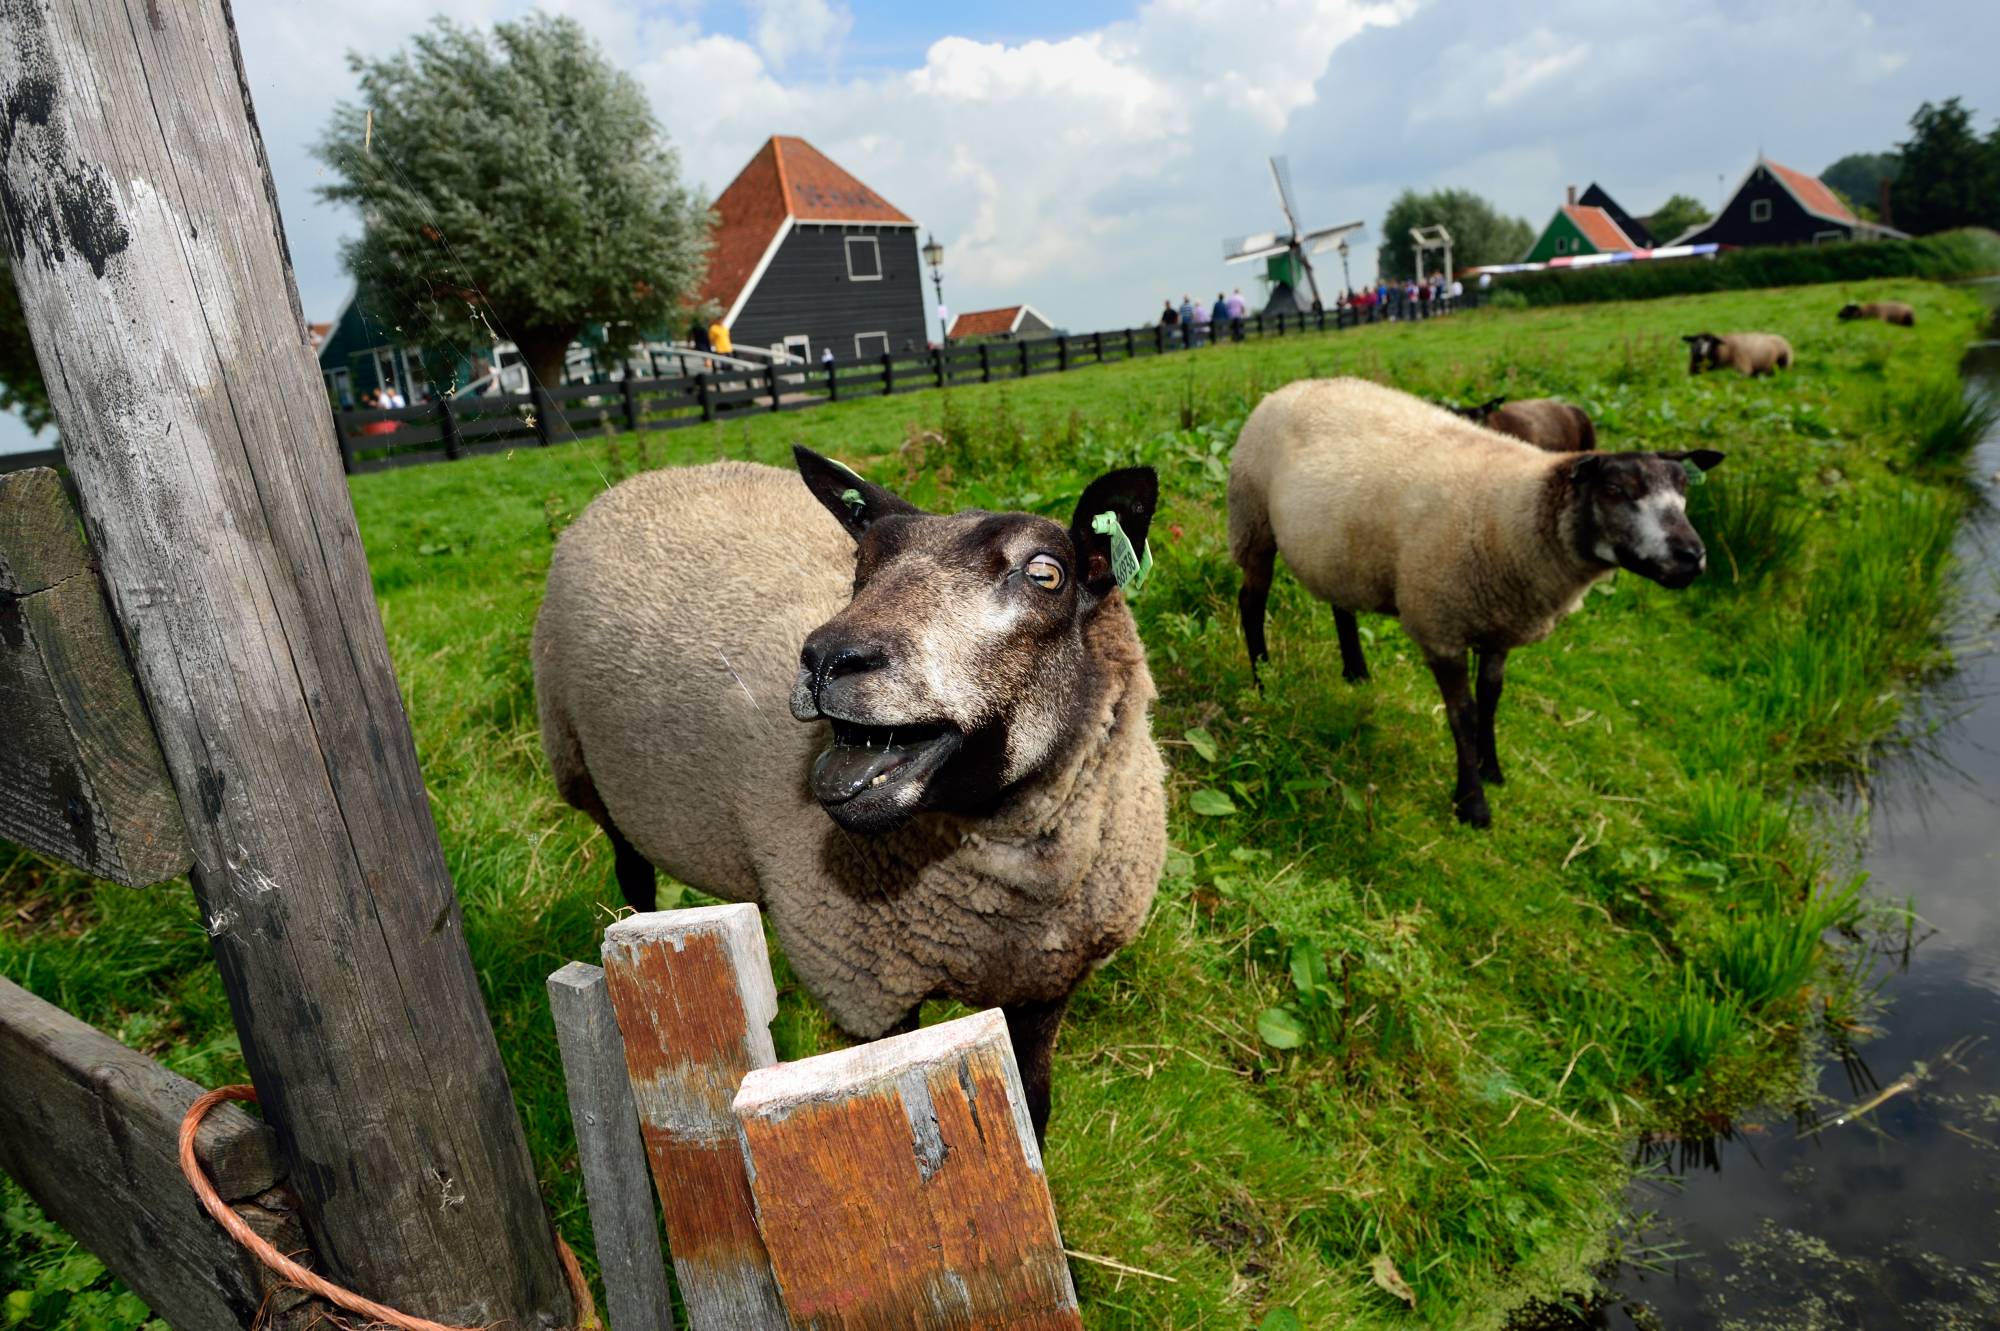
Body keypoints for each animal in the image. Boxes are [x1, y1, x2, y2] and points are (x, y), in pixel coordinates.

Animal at [528, 445, 1168, 1127]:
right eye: (862, 566)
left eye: (1046, 573)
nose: (829, 657)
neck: (1003, 898)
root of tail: (655, 475)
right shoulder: (867, 989)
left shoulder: (1046, 984)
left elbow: (1036, 1110)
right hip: (584, 772)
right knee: (632, 872)